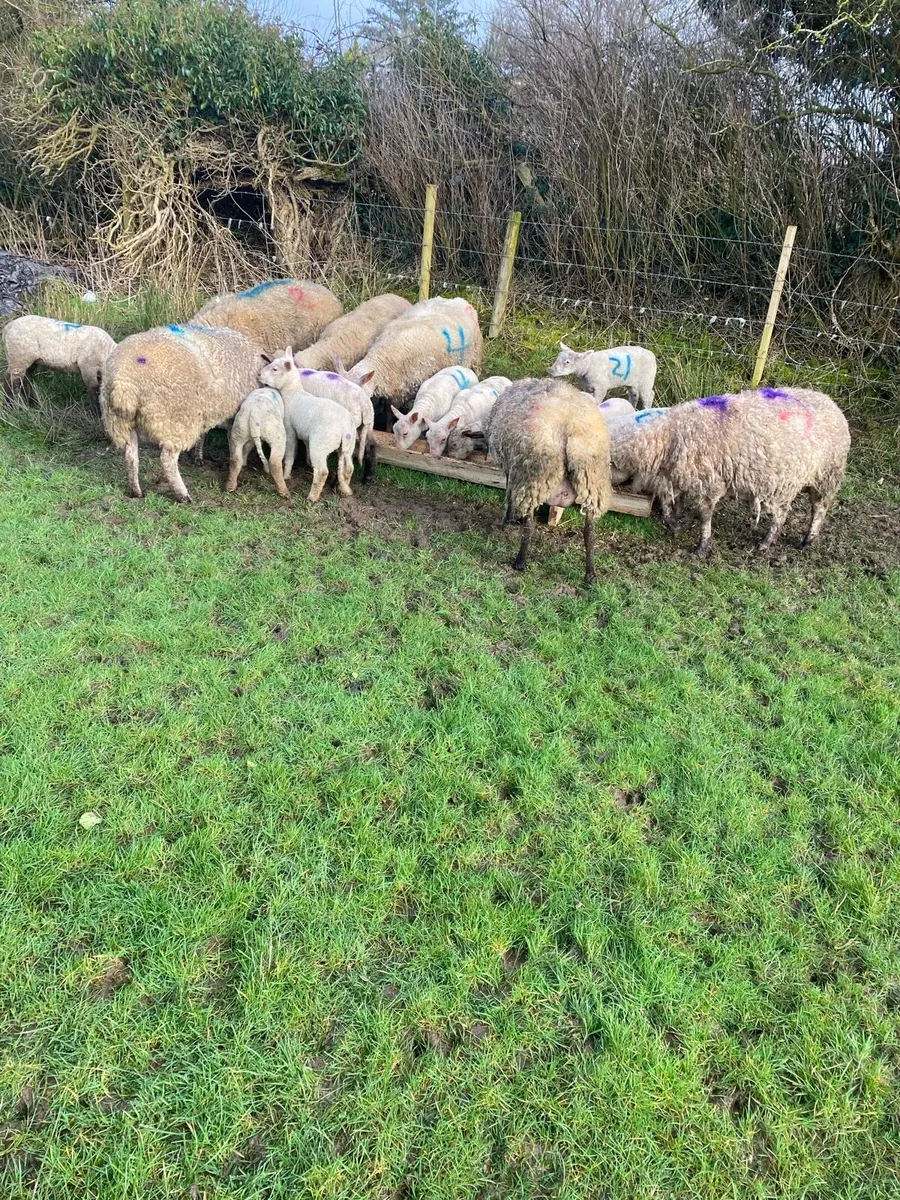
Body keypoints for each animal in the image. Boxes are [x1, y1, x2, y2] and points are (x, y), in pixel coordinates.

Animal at [100, 323, 266, 503]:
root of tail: (125, 383)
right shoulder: (232, 413)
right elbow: (233, 441)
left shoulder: (204, 410)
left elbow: (203, 434)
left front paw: (198, 457)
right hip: (176, 420)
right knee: (167, 459)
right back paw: (183, 495)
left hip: (119, 422)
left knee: (131, 455)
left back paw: (135, 491)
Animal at [259, 349, 357, 502]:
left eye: (275, 369)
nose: (259, 374)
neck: (292, 393)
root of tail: (344, 427)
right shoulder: (304, 434)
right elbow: (305, 446)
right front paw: (308, 463)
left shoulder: (290, 430)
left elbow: (290, 455)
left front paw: (287, 475)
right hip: (349, 445)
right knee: (349, 468)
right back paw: (344, 490)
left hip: (321, 443)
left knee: (322, 472)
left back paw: (312, 497)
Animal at [483, 378, 612, 585]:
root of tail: (569, 426)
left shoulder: (512, 468)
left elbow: (509, 493)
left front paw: (509, 518)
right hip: (592, 481)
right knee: (589, 530)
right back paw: (590, 573)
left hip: (534, 476)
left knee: (529, 525)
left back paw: (520, 562)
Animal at [608, 386, 850, 557]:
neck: (671, 434)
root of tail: (833, 405)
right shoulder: (677, 474)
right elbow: (670, 501)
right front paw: (676, 522)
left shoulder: (709, 482)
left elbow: (705, 516)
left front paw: (701, 547)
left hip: (824, 476)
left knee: (811, 511)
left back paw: (786, 542)